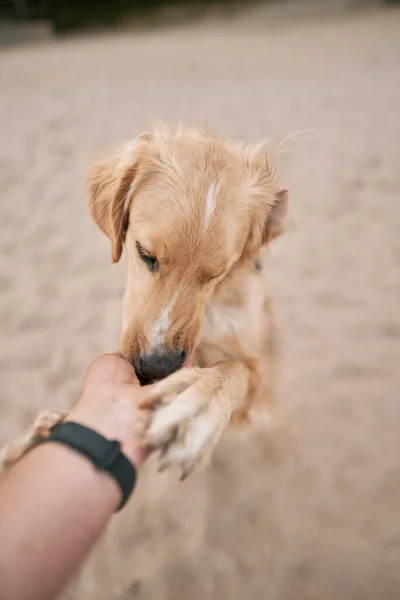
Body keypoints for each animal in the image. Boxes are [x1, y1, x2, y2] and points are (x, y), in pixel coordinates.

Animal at [0, 122, 288, 478]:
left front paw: (198, 403)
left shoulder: (255, 380)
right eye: (145, 254)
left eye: (217, 274)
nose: (156, 368)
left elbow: (236, 369)